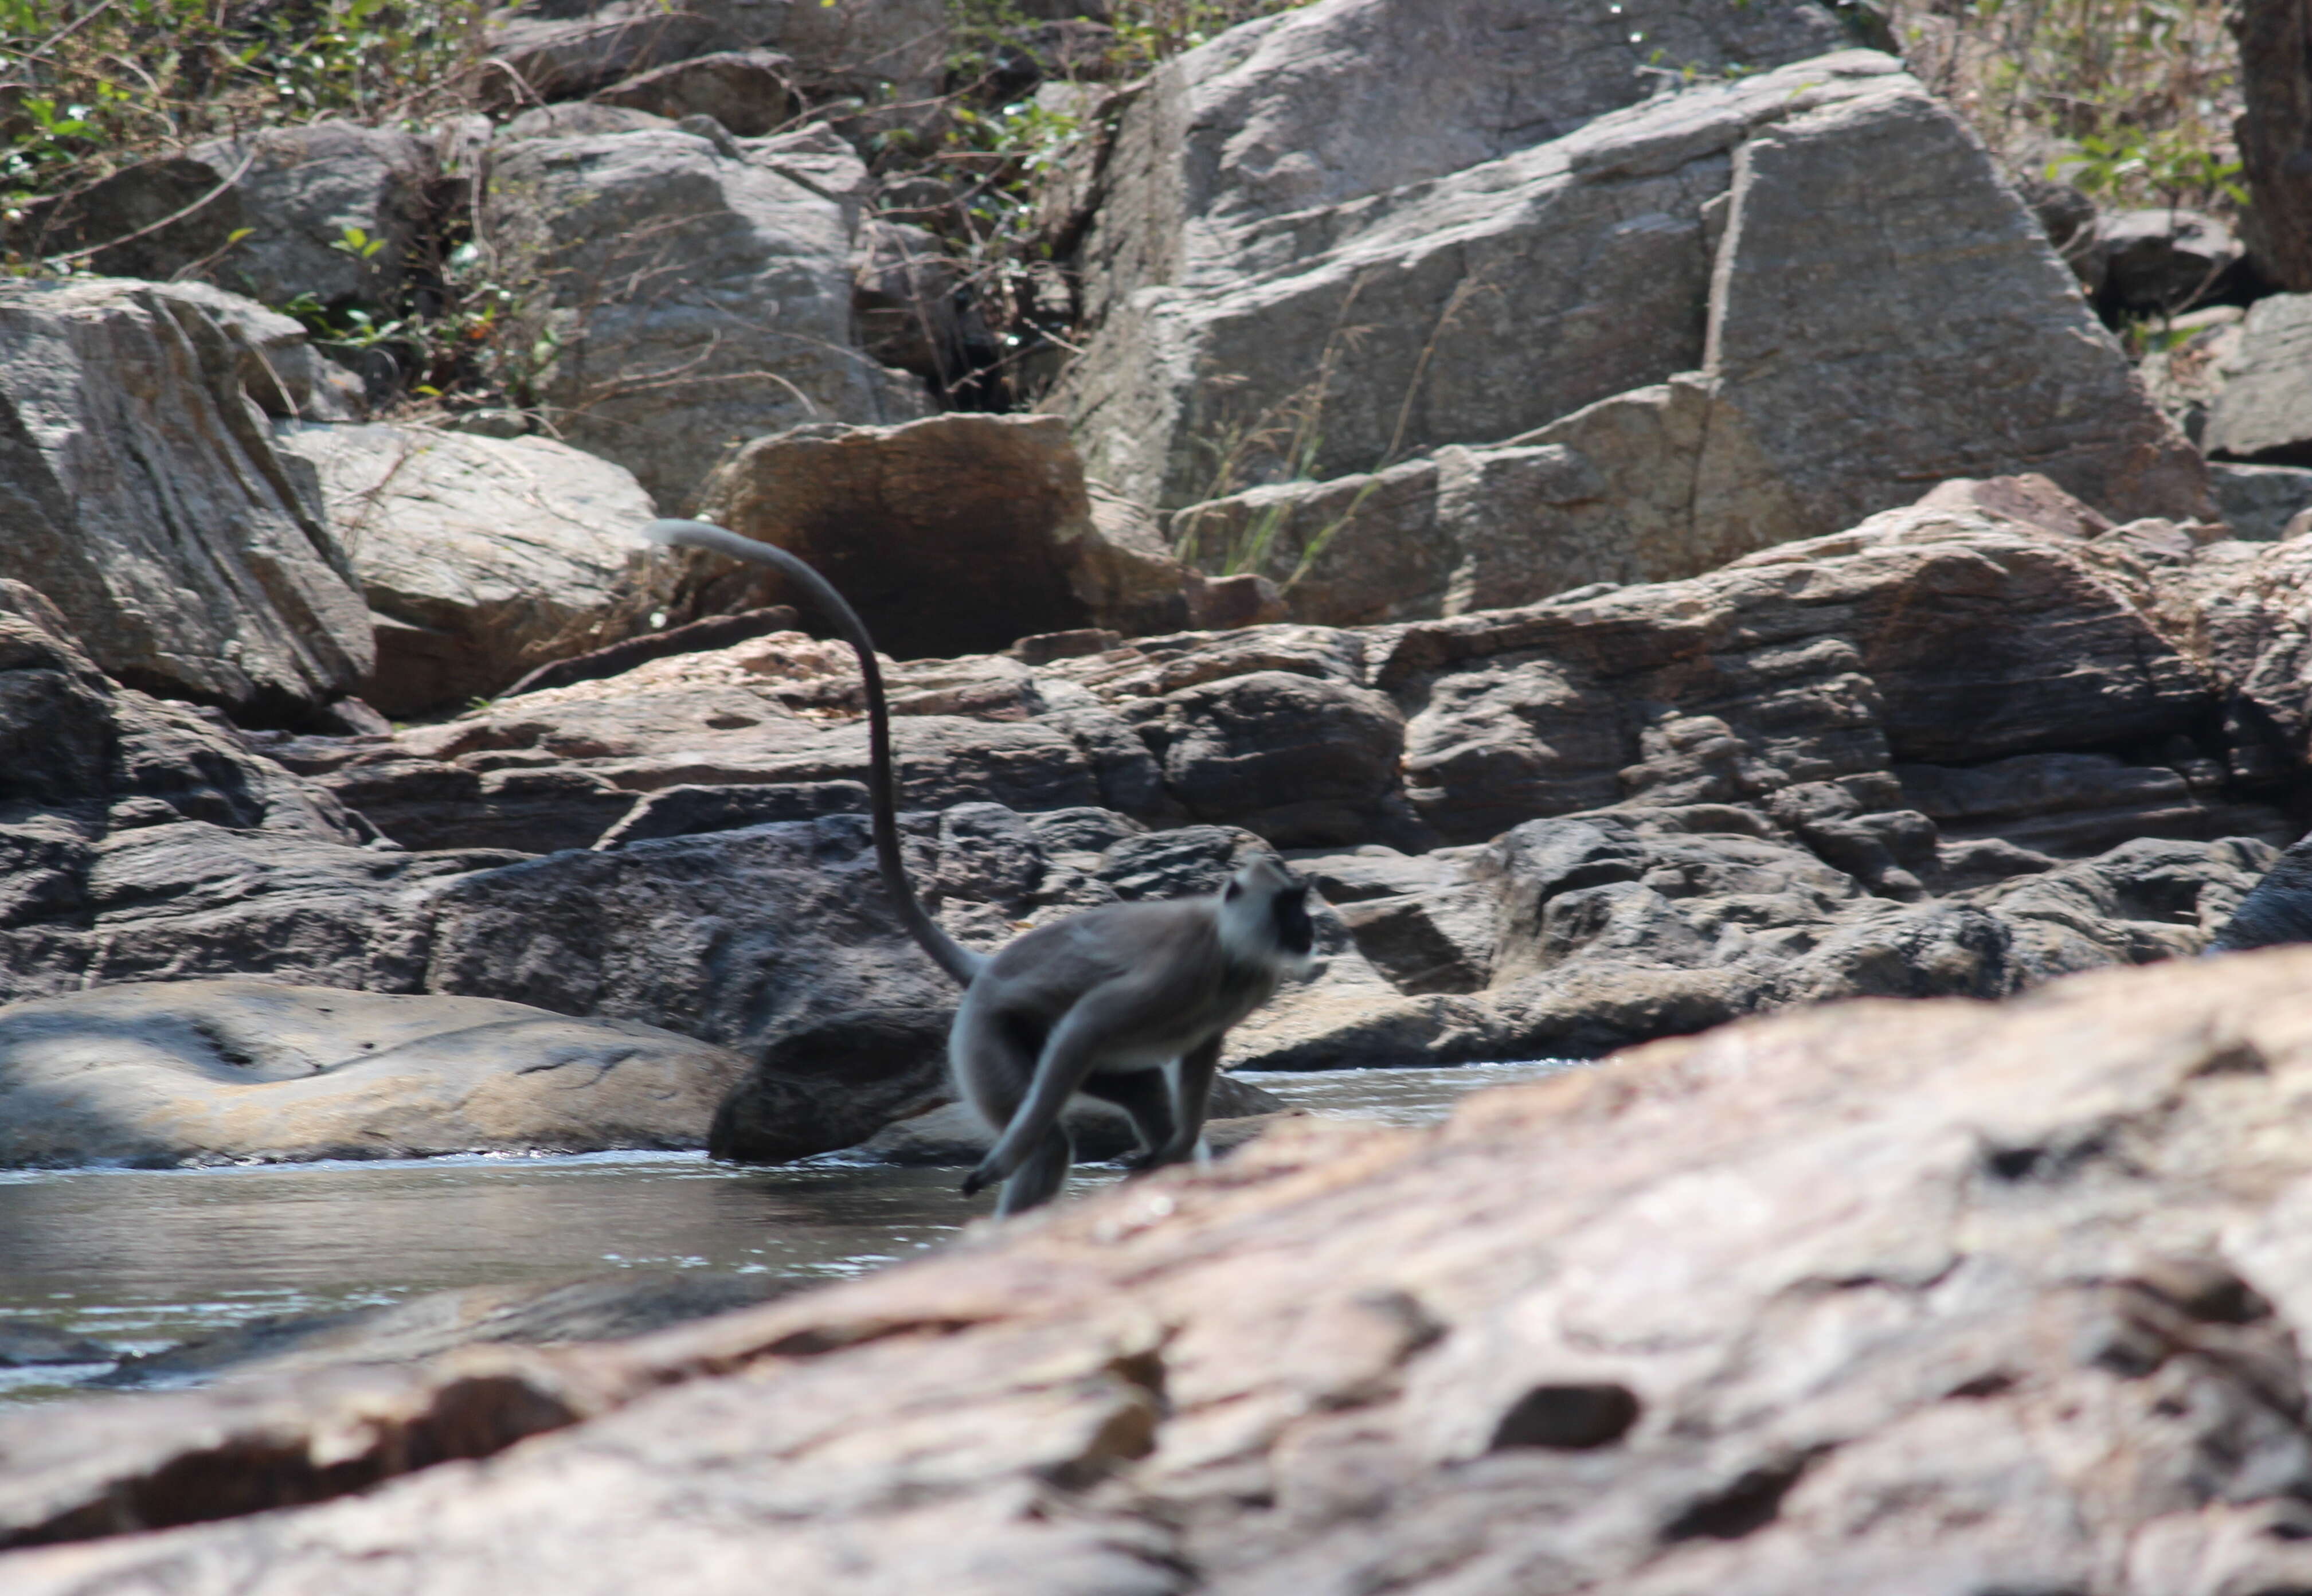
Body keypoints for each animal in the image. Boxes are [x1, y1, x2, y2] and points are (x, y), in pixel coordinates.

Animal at [643, 515, 1322, 1212]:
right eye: (1291, 907)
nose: (1309, 930)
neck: (1229, 949)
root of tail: (992, 966)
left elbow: (1195, 1060)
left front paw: (1179, 1149)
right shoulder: (1180, 967)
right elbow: (1085, 1026)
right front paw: (1001, 1160)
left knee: (1141, 1100)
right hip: (990, 1036)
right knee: (1050, 1133)